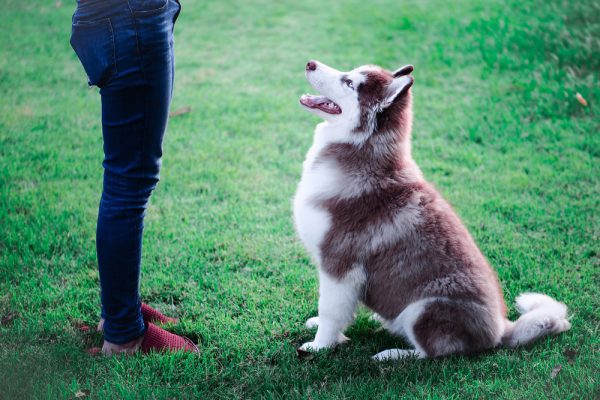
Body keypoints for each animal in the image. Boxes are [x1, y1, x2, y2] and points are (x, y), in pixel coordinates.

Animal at [292, 60, 568, 360]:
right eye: (349, 72)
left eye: (349, 83)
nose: (310, 63)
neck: (361, 152)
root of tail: (500, 330)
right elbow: (332, 310)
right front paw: (321, 328)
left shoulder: (339, 265)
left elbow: (330, 311)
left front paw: (320, 346)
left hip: (423, 309)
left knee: (429, 353)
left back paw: (392, 354)